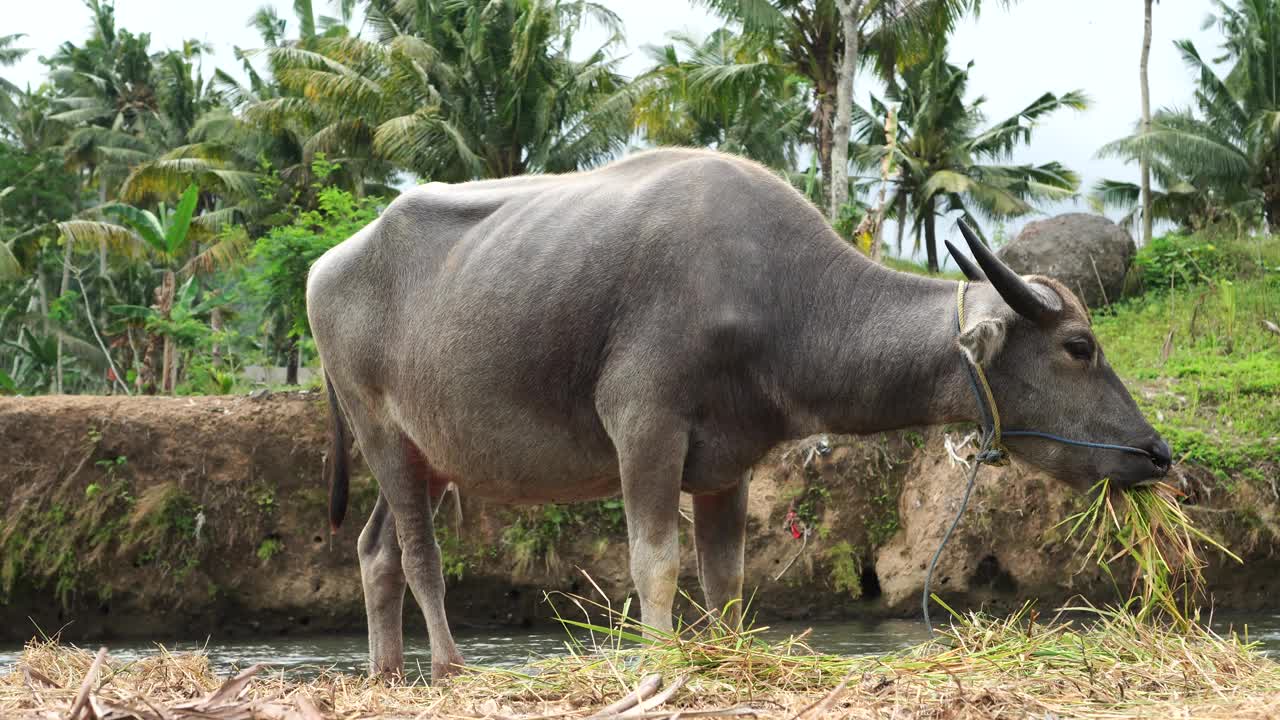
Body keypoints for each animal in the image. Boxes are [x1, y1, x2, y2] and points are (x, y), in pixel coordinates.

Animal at [307, 147, 1172, 676]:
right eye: (1079, 346)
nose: (1156, 454)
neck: (776, 298)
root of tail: (328, 264)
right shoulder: (644, 428)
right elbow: (654, 564)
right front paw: (660, 666)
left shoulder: (728, 466)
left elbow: (726, 578)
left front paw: (722, 656)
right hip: (381, 432)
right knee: (419, 555)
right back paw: (449, 667)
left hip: (431, 455)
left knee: (376, 550)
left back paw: (387, 674)